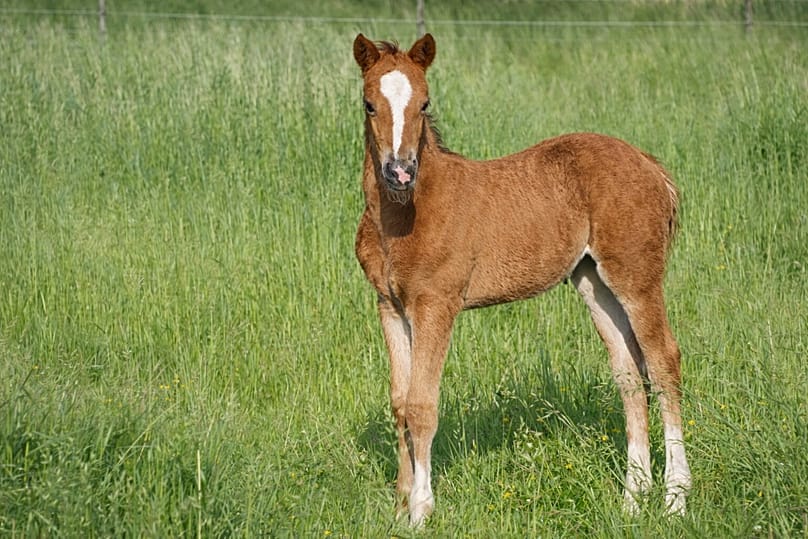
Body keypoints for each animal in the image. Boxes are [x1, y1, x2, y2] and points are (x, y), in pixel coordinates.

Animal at [352, 33, 691, 526]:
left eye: (425, 102)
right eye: (369, 104)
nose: (400, 171)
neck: (403, 215)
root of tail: (651, 166)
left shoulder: (436, 304)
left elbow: (422, 405)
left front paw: (420, 509)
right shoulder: (390, 306)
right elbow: (399, 403)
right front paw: (398, 507)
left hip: (637, 277)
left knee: (664, 361)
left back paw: (675, 499)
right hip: (594, 283)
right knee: (629, 372)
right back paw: (632, 498)